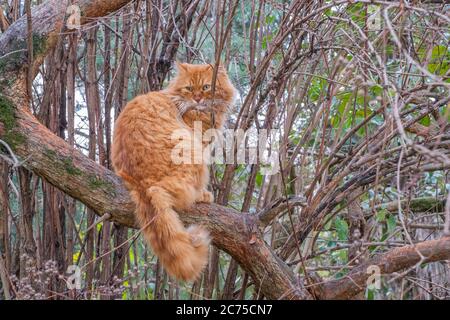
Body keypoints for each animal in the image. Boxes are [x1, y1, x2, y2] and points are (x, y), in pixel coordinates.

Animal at [112, 62, 236, 280]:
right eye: (189, 88)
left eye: (206, 87)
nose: (197, 99)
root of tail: (142, 183)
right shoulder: (200, 144)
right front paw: (205, 193)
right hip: (191, 152)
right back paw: (201, 196)